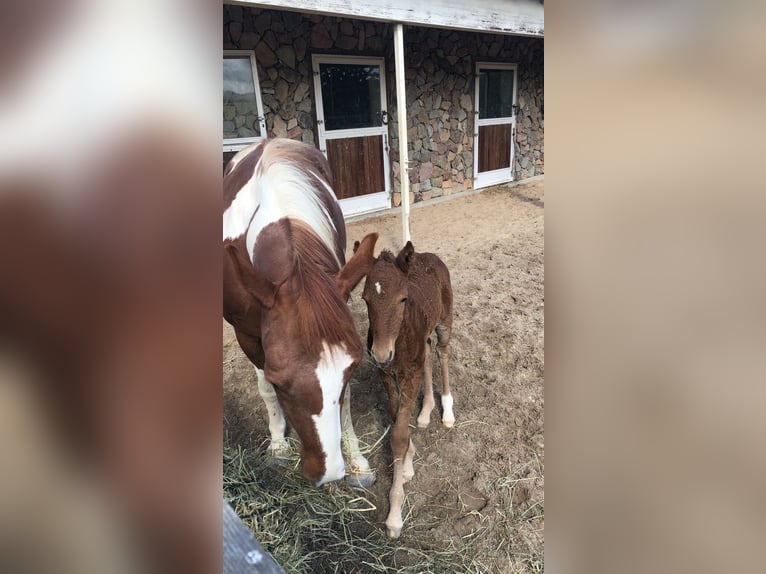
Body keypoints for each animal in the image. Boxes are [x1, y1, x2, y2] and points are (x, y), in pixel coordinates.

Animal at [223, 138, 379, 487]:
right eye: (281, 382)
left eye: (352, 368)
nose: (329, 472)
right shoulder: (247, 334)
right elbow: (264, 389)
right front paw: (278, 446)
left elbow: (346, 400)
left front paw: (357, 462)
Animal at [359, 240, 455, 538]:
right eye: (365, 299)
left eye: (403, 298)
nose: (380, 353)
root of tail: (429, 256)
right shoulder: (387, 377)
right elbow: (396, 423)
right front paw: (409, 463)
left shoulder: (409, 377)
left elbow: (399, 435)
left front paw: (394, 515)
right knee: (428, 352)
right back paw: (425, 413)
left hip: (445, 320)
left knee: (442, 352)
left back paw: (447, 411)